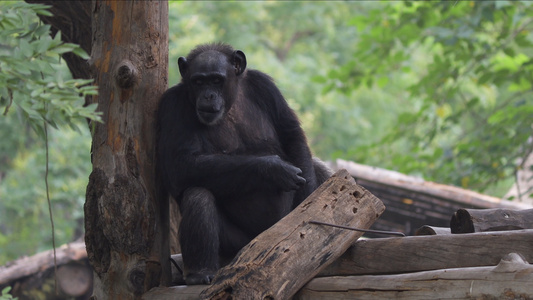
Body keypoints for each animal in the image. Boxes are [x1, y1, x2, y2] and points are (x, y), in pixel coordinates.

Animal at [155, 43, 328, 284]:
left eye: (216, 80)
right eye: (198, 81)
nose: (208, 95)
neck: (230, 104)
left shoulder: (265, 86)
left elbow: (290, 133)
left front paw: (308, 201)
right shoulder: (172, 106)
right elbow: (181, 165)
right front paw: (273, 170)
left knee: (316, 166)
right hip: (239, 245)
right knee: (198, 196)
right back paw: (200, 273)